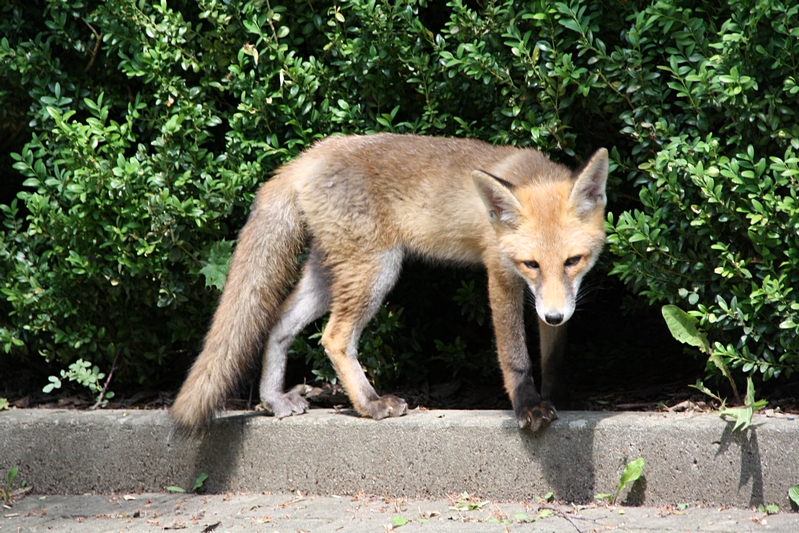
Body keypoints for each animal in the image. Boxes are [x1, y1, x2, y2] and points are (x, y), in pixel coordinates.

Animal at [170, 133, 608, 436]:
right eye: (530, 264)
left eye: (573, 261)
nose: (553, 316)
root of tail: (310, 155)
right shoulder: (500, 276)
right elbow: (515, 356)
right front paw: (528, 407)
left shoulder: (554, 299)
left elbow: (553, 355)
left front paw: (557, 397)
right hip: (375, 271)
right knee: (333, 337)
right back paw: (370, 404)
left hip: (329, 277)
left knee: (278, 324)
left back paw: (274, 400)